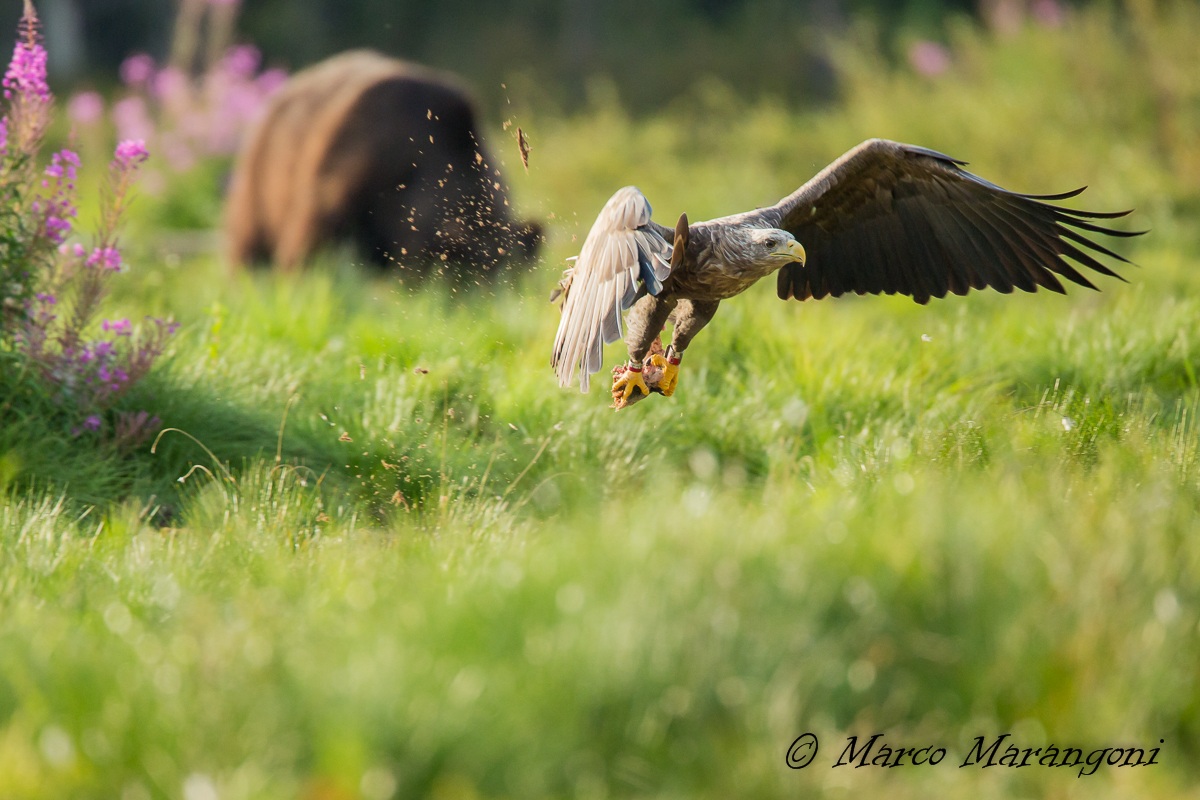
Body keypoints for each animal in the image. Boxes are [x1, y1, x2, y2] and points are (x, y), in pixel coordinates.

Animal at [223, 50, 541, 276]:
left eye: (510, 280)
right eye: (464, 275)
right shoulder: (344, 172)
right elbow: (310, 235)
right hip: (259, 187)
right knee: (248, 243)